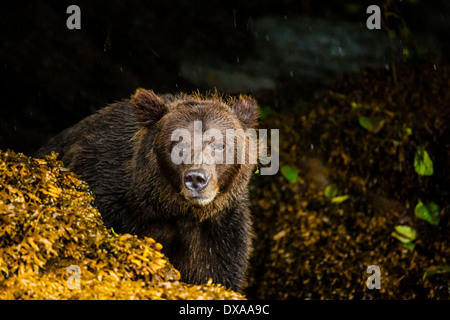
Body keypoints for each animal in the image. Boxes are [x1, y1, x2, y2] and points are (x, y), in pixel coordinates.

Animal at [34, 87, 258, 290]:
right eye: (178, 144)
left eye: (219, 145)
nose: (196, 178)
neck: (174, 210)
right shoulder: (107, 188)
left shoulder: (220, 232)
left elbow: (217, 273)